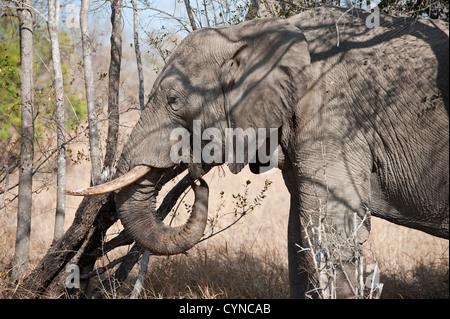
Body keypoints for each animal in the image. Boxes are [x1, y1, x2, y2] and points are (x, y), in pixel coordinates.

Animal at [65, 6, 448, 300]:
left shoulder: (335, 114)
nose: (197, 180)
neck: (248, 35)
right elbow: (299, 231)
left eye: (173, 101)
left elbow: (330, 229)